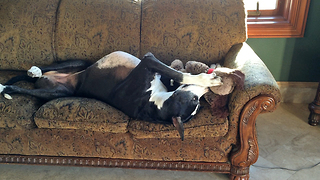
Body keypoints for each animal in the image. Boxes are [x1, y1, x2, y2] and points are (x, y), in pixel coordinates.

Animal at [0, 51, 222, 140]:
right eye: (194, 101)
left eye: (198, 107)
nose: (205, 94)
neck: (157, 103)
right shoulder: (149, 61)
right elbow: (177, 73)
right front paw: (207, 79)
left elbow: (175, 74)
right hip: (78, 62)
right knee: (23, 81)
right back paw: (29, 73)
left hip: (57, 91)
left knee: (23, 87)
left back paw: (24, 78)